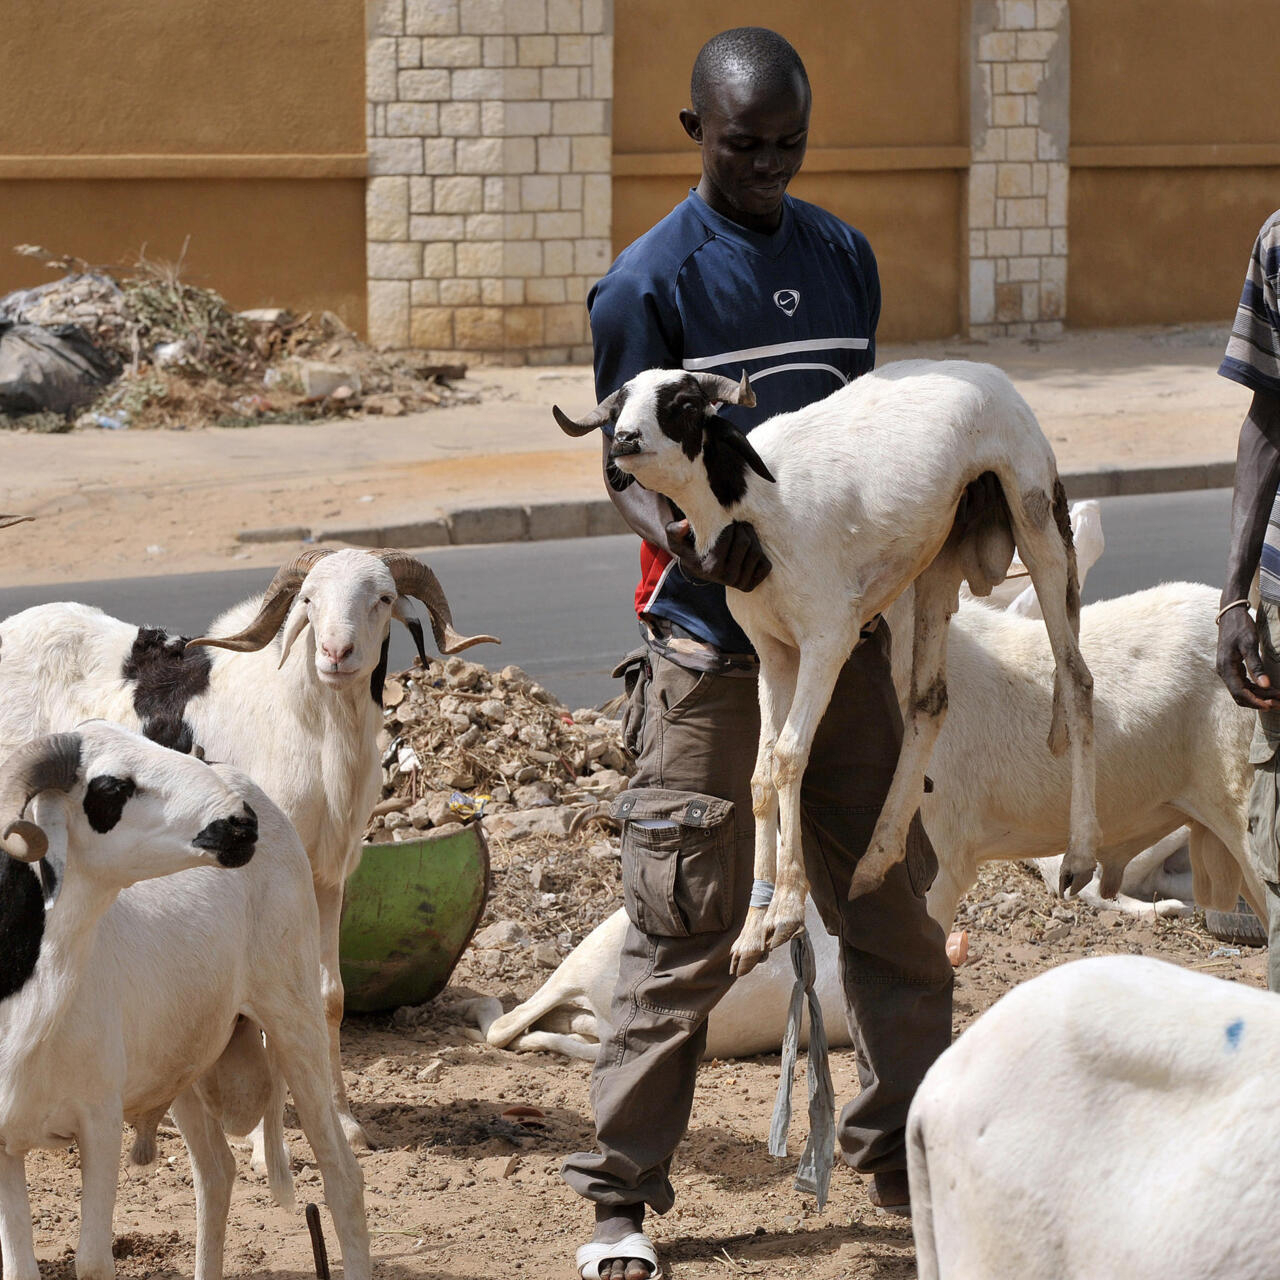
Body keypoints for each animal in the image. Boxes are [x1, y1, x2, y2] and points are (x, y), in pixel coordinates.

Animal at [558, 366, 1100, 972]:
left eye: (685, 404)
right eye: (617, 408)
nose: (625, 443)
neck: (757, 500)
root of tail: (993, 376)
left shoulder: (827, 638)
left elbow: (791, 757)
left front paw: (788, 908)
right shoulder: (771, 649)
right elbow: (760, 775)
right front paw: (753, 929)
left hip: (1035, 513)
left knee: (1075, 677)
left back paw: (1079, 855)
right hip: (940, 551)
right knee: (930, 701)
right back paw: (874, 859)